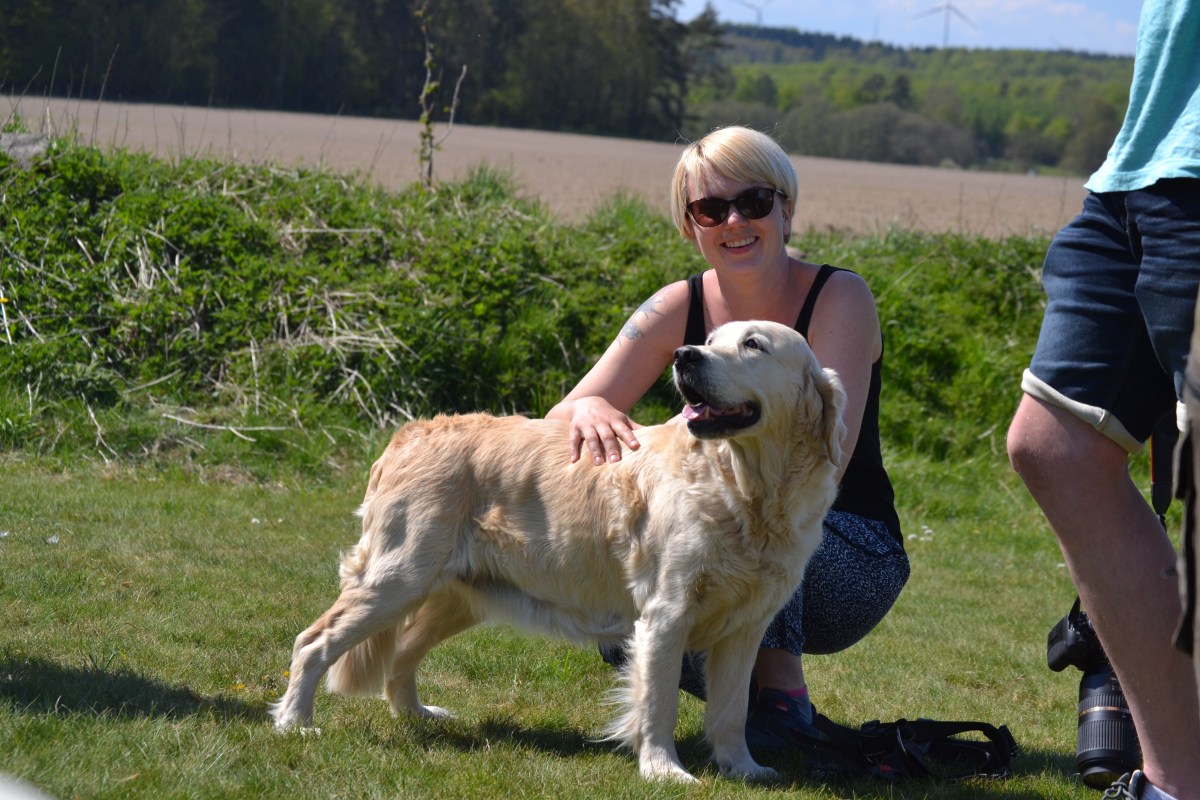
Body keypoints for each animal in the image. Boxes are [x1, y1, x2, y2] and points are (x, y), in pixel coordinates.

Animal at [271, 319, 845, 782]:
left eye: (753, 344)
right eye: (708, 340)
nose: (685, 355)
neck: (745, 490)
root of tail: (408, 433)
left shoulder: (745, 628)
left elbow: (730, 710)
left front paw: (743, 768)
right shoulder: (666, 614)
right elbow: (658, 704)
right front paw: (663, 769)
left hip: (452, 596)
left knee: (402, 653)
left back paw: (417, 715)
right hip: (396, 579)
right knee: (313, 643)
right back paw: (295, 723)